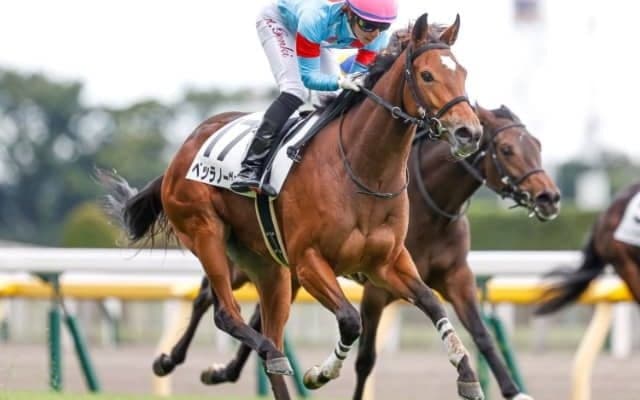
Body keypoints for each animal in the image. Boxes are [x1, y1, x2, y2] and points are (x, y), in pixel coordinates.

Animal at [101, 14, 486, 400]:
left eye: (464, 73)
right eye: (427, 75)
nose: (469, 132)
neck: (363, 170)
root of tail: (181, 153)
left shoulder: (386, 263)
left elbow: (432, 302)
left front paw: (467, 373)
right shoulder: (309, 261)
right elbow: (350, 321)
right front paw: (319, 373)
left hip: (269, 267)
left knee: (265, 329)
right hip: (206, 232)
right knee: (227, 313)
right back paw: (247, 354)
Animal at [149, 104, 561, 400]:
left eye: (539, 146)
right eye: (507, 149)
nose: (549, 197)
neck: (432, 206)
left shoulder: (455, 276)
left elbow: (483, 334)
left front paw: (513, 391)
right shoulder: (377, 288)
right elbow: (366, 359)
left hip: (287, 268)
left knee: (258, 319)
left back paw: (228, 369)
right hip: (240, 254)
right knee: (207, 296)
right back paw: (170, 359)